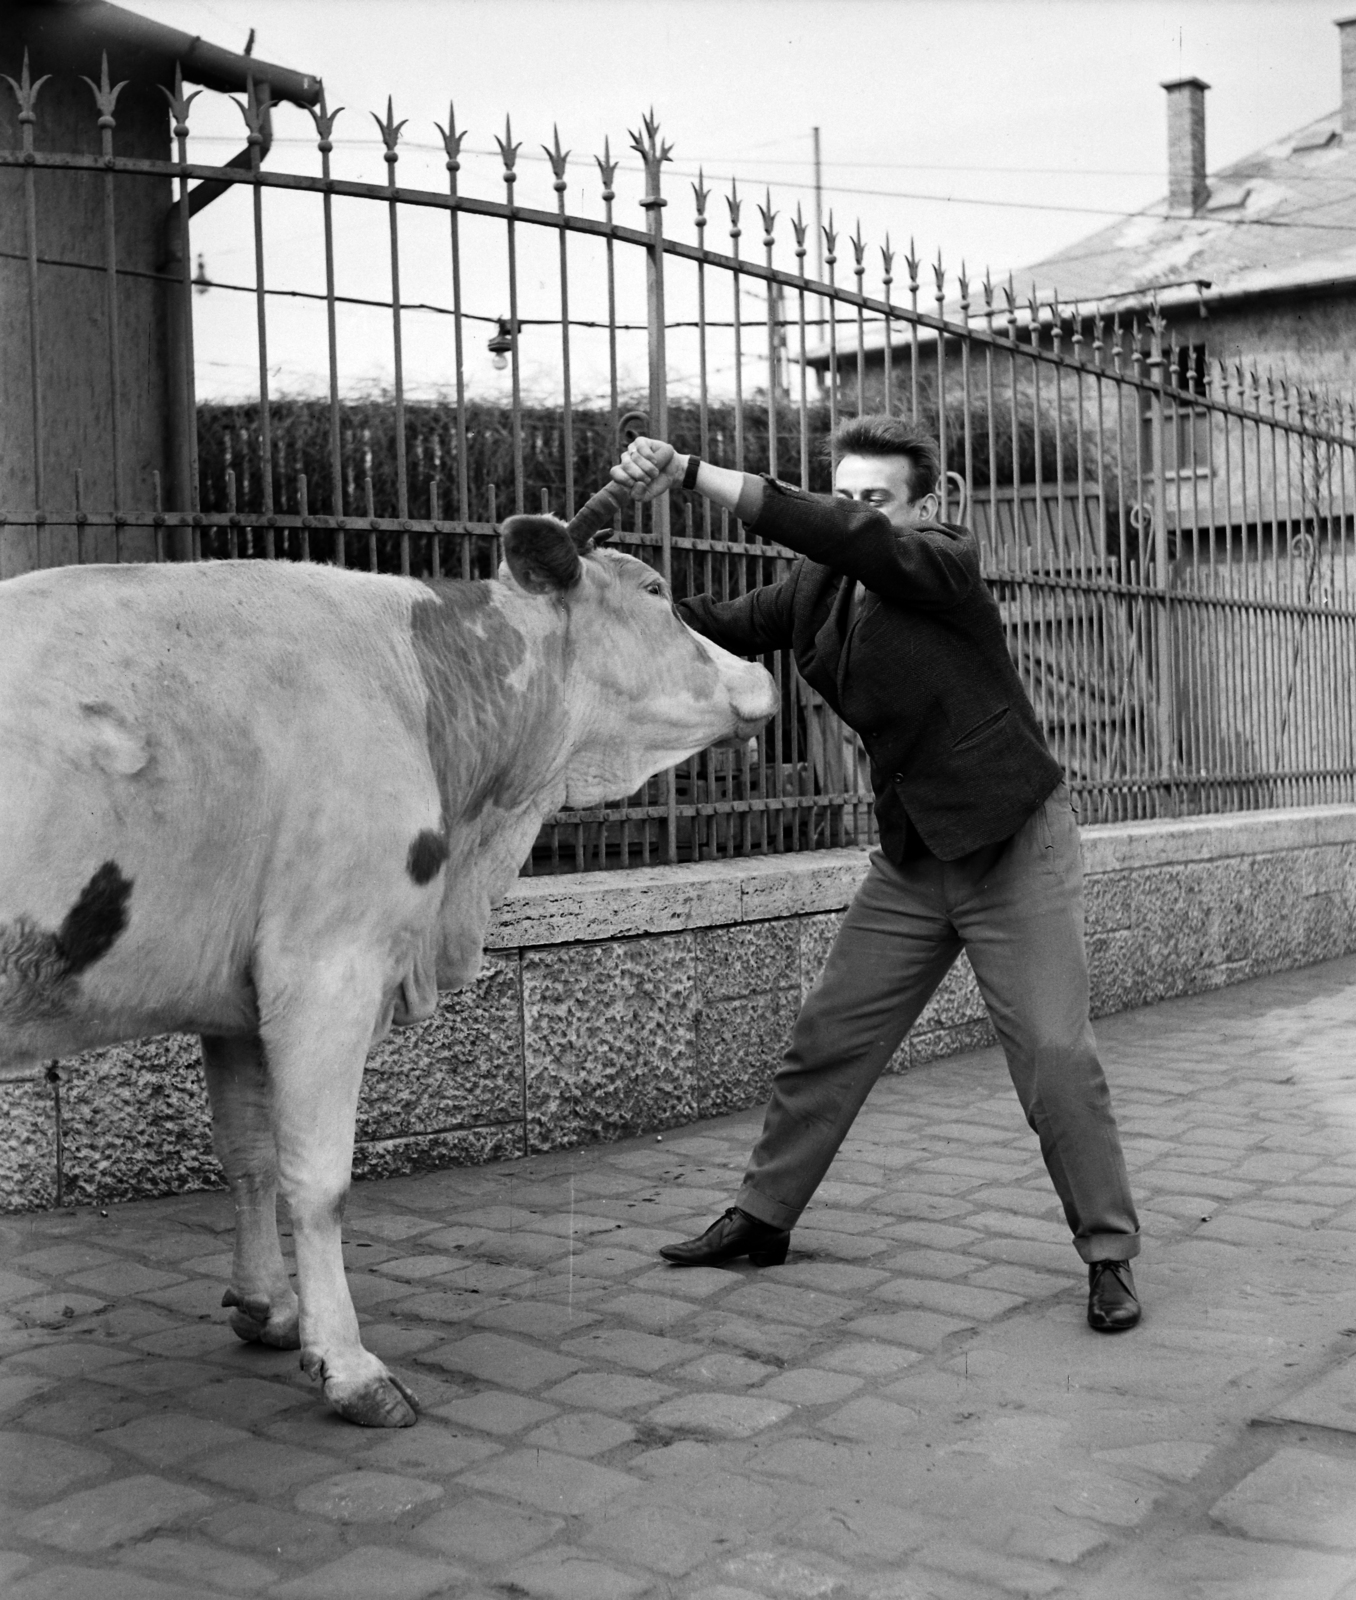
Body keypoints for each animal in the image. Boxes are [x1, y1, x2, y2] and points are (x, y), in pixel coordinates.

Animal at [0, 499, 777, 1427]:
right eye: (657, 590)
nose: (761, 671)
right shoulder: (328, 964)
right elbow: (318, 1176)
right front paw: (349, 1367)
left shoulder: (237, 992)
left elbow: (248, 1153)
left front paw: (267, 1307)